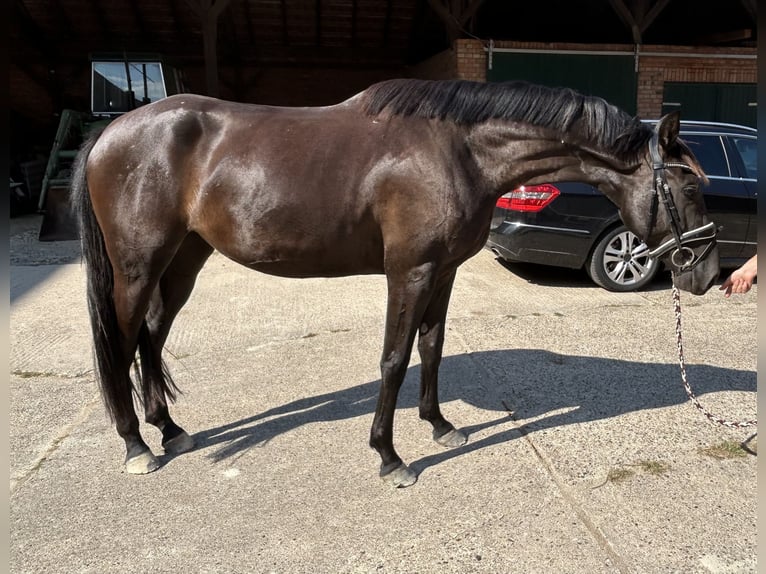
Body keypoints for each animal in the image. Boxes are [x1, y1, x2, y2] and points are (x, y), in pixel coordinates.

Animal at [71, 78, 719, 487]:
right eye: (689, 185)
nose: (709, 273)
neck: (459, 150)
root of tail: (110, 133)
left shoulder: (444, 270)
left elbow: (431, 348)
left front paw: (439, 427)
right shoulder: (410, 270)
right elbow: (395, 358)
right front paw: (389, 455)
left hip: (185, 258)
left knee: (152, 337)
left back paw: (170, 429)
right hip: (138, 265)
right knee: (122, 342)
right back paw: (136, 445)